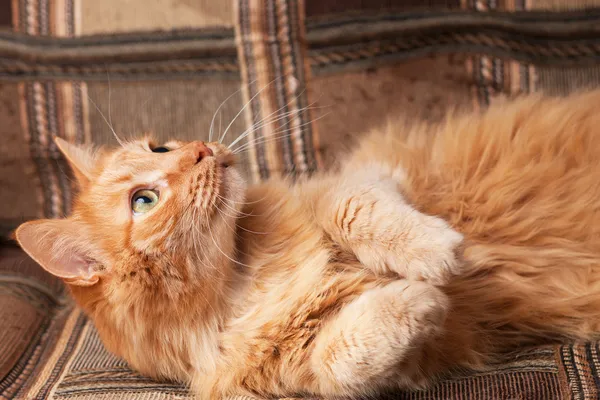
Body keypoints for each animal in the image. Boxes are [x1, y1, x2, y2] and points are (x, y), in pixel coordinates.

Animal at [14, 90, 600, 400]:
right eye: (143, 200)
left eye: (161, 147)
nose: (202, 148)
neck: (247, 278)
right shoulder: (338, 368)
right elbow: (345, 355)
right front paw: (418, 295)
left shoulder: (366, 177)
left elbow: (354, 211)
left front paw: (434, 251)